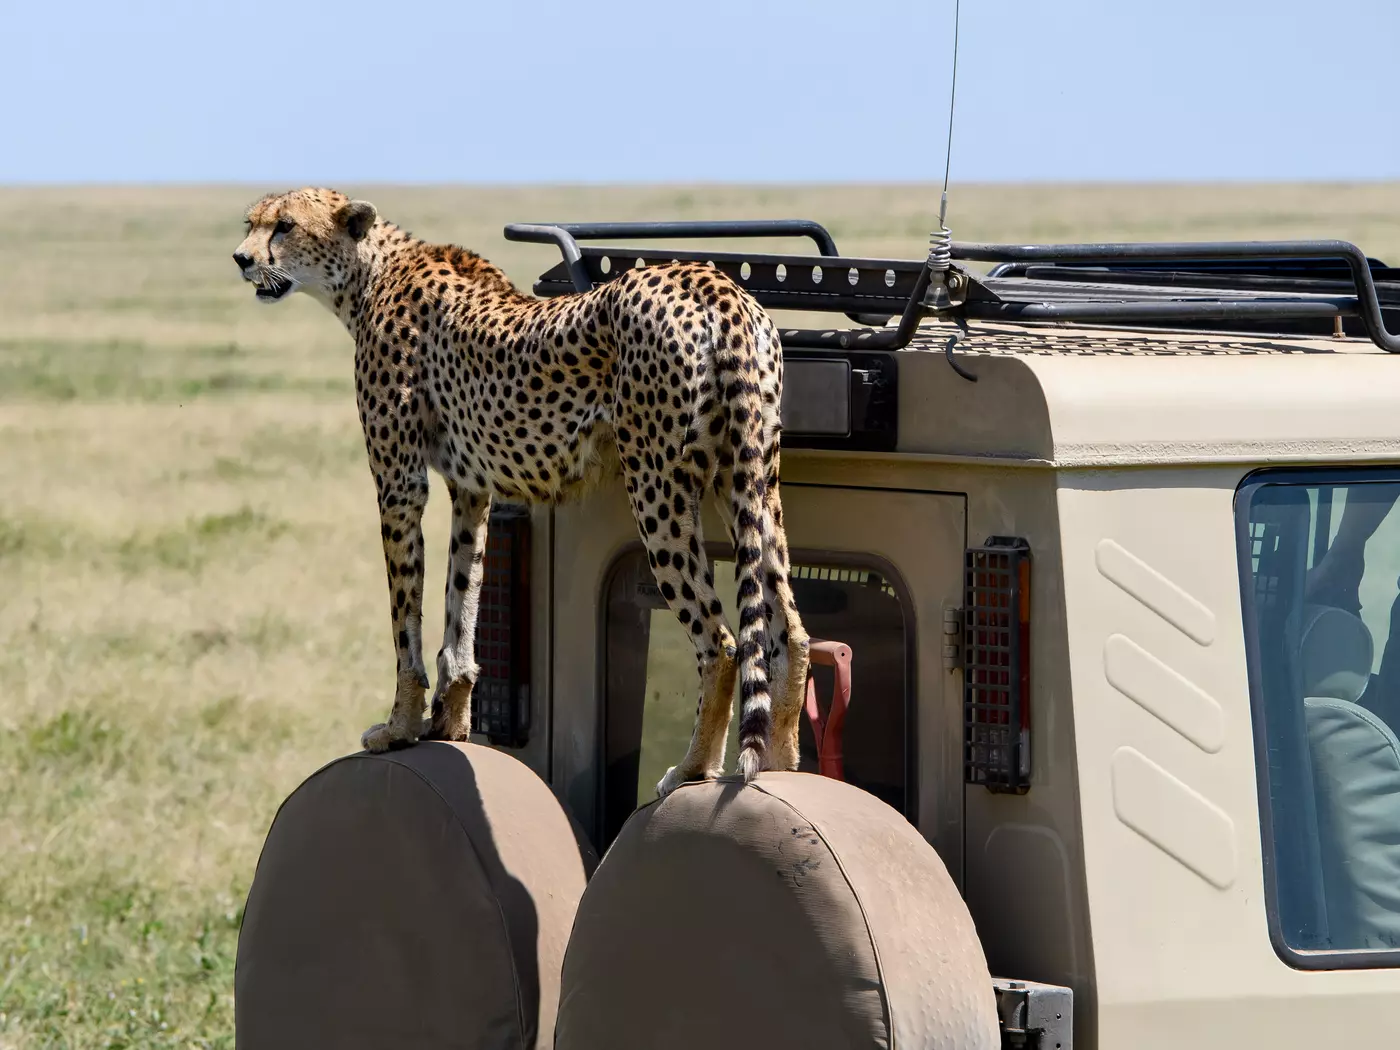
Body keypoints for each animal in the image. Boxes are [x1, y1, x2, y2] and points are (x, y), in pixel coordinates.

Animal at [232, 188, 810, 796]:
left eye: (285, 226)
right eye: (251, 223)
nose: (241, 258)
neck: (369, 272)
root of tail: (710, 280)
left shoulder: (400, 483)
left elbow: (405, 621)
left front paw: (400, 727)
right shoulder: (470, 488)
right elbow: (461, 603)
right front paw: (451, 725)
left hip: (657, 482)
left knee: (721, 641)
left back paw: (695, 768)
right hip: (749, 476)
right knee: (789, 629)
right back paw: (781, 760)